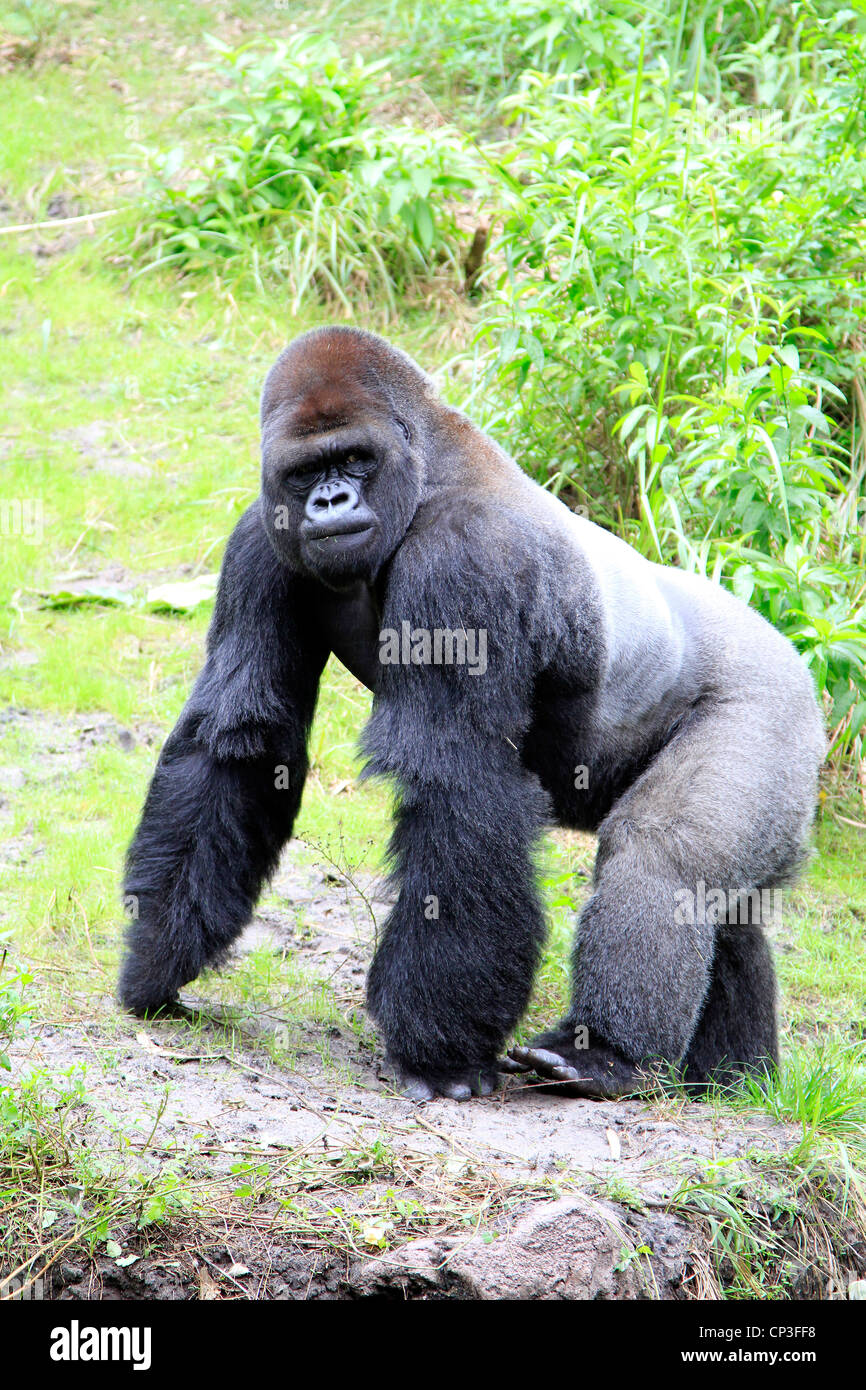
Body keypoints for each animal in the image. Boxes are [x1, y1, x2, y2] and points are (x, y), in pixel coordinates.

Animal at [116, 325, 828, 1095]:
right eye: (308, 471)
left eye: (354, 459)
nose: (331, 501)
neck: (427, 467)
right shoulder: (259, 539)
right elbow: (242, 738)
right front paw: (158, 952)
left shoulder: (463, 560)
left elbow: (458, 781)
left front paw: (442, 1051)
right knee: (729, 904)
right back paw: (734, 1075)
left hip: (771, 702)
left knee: (664, 853)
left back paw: (606, 1053)